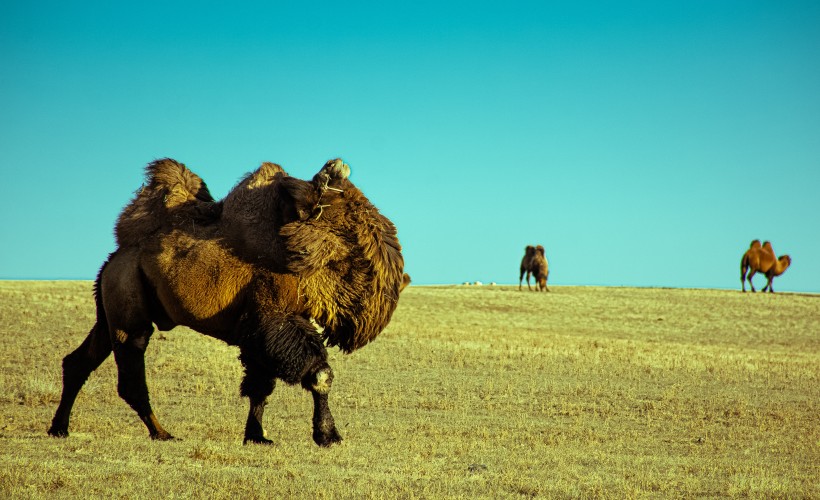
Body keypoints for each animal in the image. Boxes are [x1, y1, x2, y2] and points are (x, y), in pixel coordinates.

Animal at [48, 158, 406, 448]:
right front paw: (328, 436)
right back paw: (162, 433)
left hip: (109, 311)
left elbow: (260, 385)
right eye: (347, 223)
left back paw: (59, 428)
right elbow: (318, 375)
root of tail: (115, 258)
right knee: (130, 377)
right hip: (129, 313)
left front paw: (257, 436)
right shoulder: (273, 319)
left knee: (79, 361)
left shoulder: (259, 331)